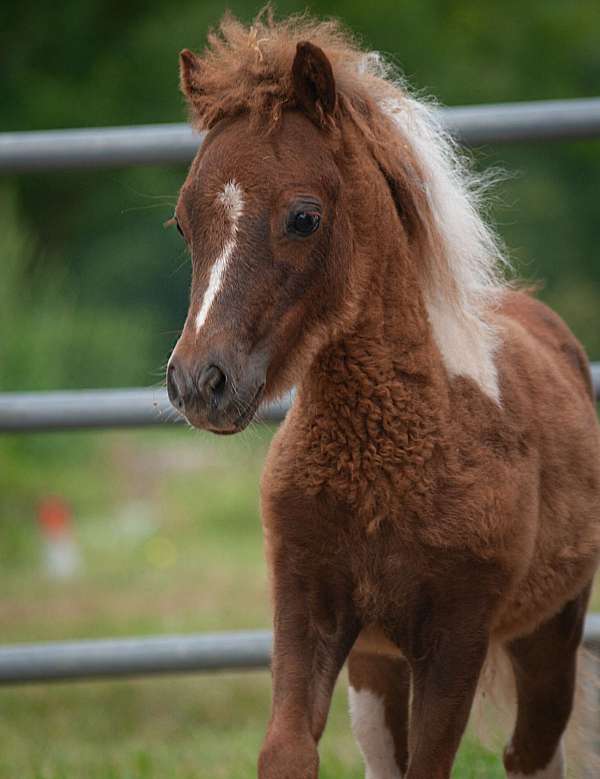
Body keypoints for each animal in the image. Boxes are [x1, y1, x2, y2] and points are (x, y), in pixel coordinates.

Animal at [165, 12, 600, 779]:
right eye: (185, 224)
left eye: (303, 217)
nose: (199, 382)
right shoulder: (307, 603)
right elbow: (286, 750)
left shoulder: (457, 634)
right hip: (378, 670)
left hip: (550, 630)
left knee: (533, 751)